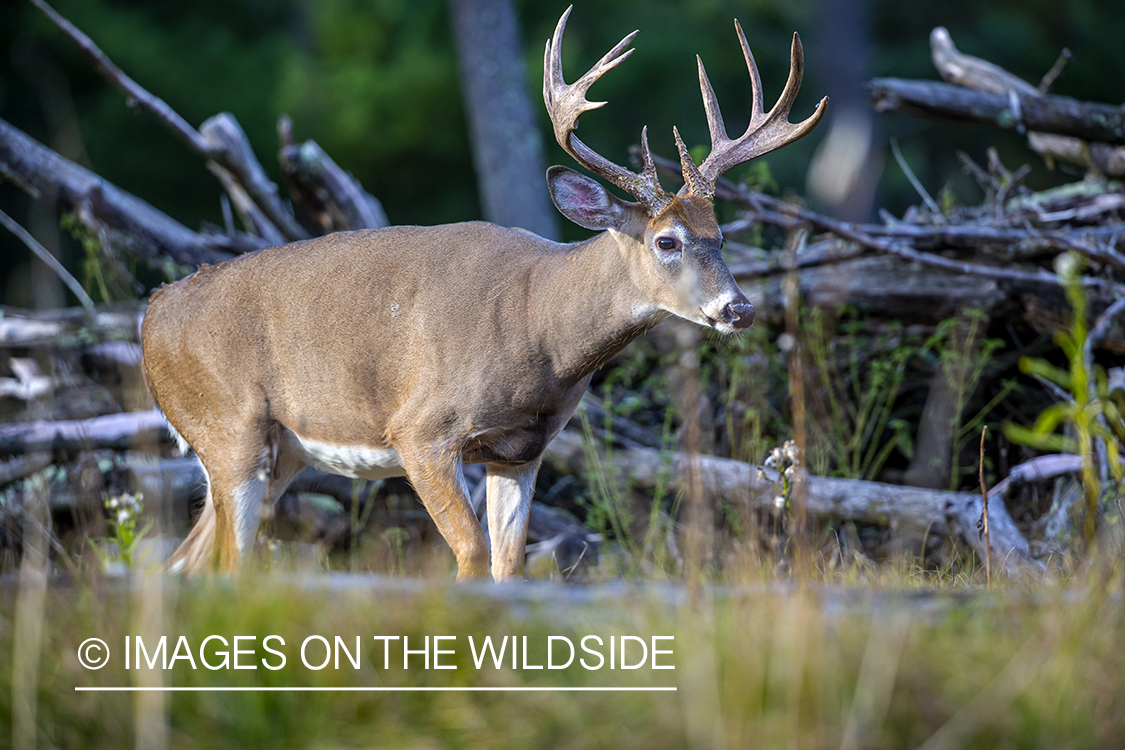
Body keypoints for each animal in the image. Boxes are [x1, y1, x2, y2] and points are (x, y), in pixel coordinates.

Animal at [142, 5, 828, 580]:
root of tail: (152, 314)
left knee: (183, 559)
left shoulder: (520, 450)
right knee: (225, 562)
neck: (538, 328)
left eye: (721, 235)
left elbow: (508, 561)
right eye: (667, 241)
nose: (738, 308)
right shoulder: (419, 429)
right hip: (229, 428)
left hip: (279, 452)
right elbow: (471, 551)